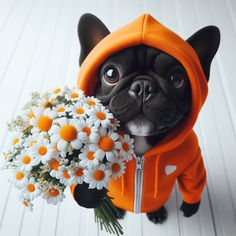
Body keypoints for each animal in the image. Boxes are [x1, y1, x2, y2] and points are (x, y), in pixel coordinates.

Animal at [71, 13, 220, 224]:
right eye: (111, 74)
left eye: (177, 79)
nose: (143, 86)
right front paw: (90, 196)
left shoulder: (192, 156)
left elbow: (193, 179)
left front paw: (191, 206)